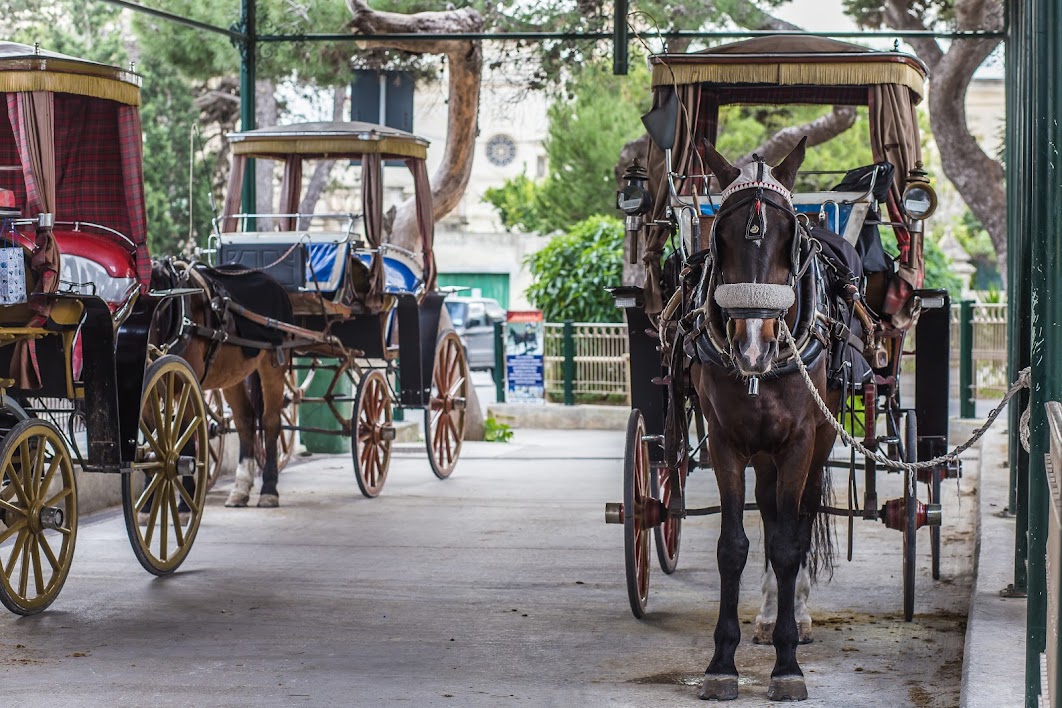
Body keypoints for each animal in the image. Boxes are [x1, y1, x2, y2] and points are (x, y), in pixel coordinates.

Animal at [149, 260, 290, 509]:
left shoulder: (184, 385)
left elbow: (185, 437)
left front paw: (186, 499)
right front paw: (148, 504)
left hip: (273, 364)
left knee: (270, 421)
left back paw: (269, 490)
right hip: (231, 374)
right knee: (245, 419)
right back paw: (241, 488)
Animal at [683, 135, 841, 700]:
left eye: (789, 238)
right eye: (722, 238)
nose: (754, 345)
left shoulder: (799, 441)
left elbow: (790, 545)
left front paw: (787, 664)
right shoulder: (725, 441)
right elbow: (735, 546)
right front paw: (721, 663)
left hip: (819, 441)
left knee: (800, 518)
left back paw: (795, 616)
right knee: (773, 516)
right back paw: (771, 614)